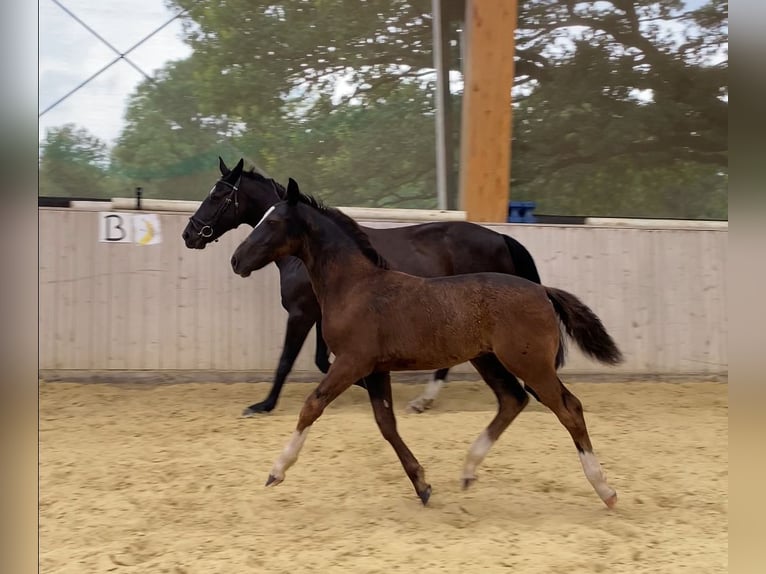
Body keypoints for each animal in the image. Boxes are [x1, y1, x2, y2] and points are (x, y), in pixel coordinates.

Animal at [183, 160, 544, 416]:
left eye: (218, 195)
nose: (190, 234)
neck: (306, 254)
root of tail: (500, 238)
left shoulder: (301, 314)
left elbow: (287, 360)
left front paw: (263, 405)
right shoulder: (321, 314)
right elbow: (321, 359)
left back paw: (424, 400)